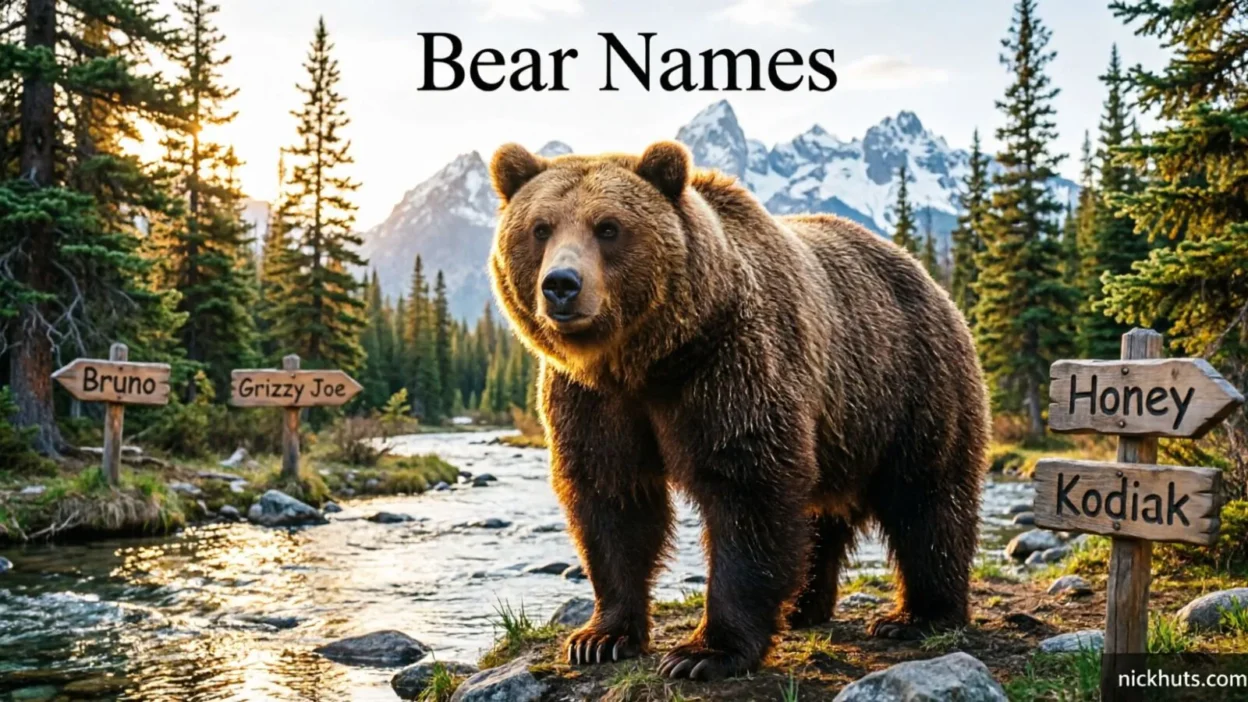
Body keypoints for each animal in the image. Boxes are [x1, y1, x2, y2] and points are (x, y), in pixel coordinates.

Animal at [487, 140, 989, 681]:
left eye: (608, 227)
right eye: (541, 228)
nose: (561, 284)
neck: (645, 361)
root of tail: (927, 276)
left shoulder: (730, 367)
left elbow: (748, 491)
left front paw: (704, 652)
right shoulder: (592, 399)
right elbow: (612, 500)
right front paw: (600, 637)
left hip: (909, 383)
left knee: (927, 497)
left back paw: (918, 616)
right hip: (841, 426)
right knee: (821, 517)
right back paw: (803, 606)